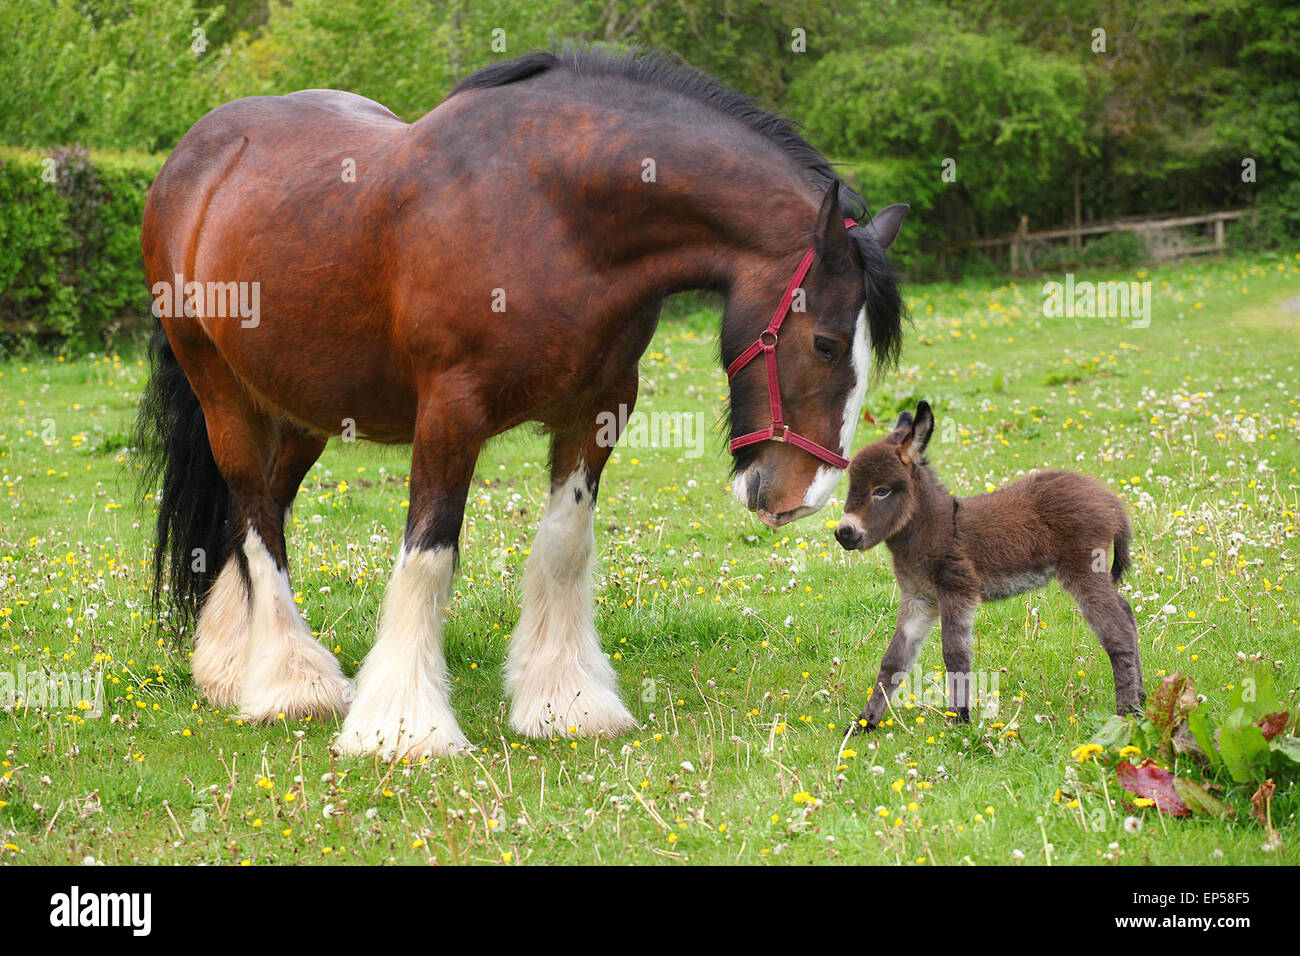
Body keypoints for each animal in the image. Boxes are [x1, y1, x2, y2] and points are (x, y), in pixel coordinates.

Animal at [135, 46, 908, 758]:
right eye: (827, 344)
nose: (802, 495)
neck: (554, 211)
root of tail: (196, 157)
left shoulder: (598, 408)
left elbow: (565, 546)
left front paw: (566, 702)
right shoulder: (451, 411)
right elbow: (430, 551)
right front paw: (406, 727)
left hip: (304, 410)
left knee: (258, 507)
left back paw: (233, 666)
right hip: (222, 395)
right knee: (256, 517)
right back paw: (293, 682)